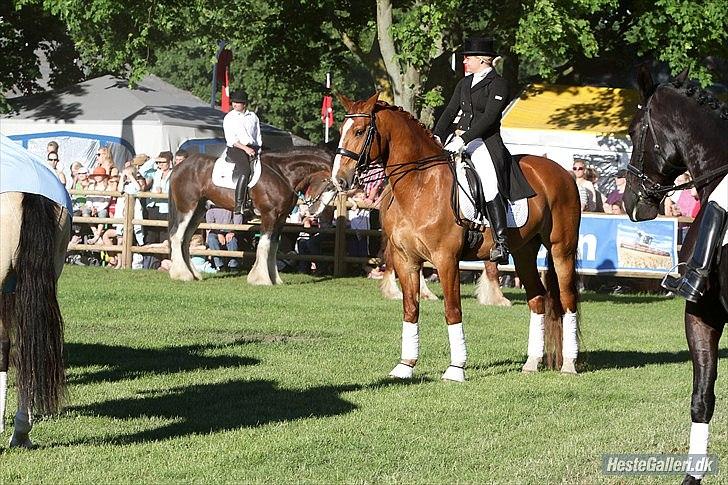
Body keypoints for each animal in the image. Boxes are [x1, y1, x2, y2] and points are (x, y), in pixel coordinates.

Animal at [167, 147, 336, 284]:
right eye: (329, 185)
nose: (313, 210)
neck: (281, 174)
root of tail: (179, 167)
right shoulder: (269, 214)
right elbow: (264, 245)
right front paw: (261, 279)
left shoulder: (281, 217)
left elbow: (273, 246)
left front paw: (275, 279)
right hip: (187, 208)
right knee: (176, 236)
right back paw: (182, 274)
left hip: (198, 211)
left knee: (185, 239)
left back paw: (193, 274)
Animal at [334, 93, 580, 382]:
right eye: (341, 130)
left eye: (360, 131)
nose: (339, 180)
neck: (420, 185)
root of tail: (562, 172)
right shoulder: (406, 260)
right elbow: (410, 309)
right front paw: (405, 365)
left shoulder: (446, 260)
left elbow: (452, 311)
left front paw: (456, 368)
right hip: (524, 252)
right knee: (537, 298)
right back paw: (531, 362)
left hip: (561, 250)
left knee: (567, 300)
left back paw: (569, 364)